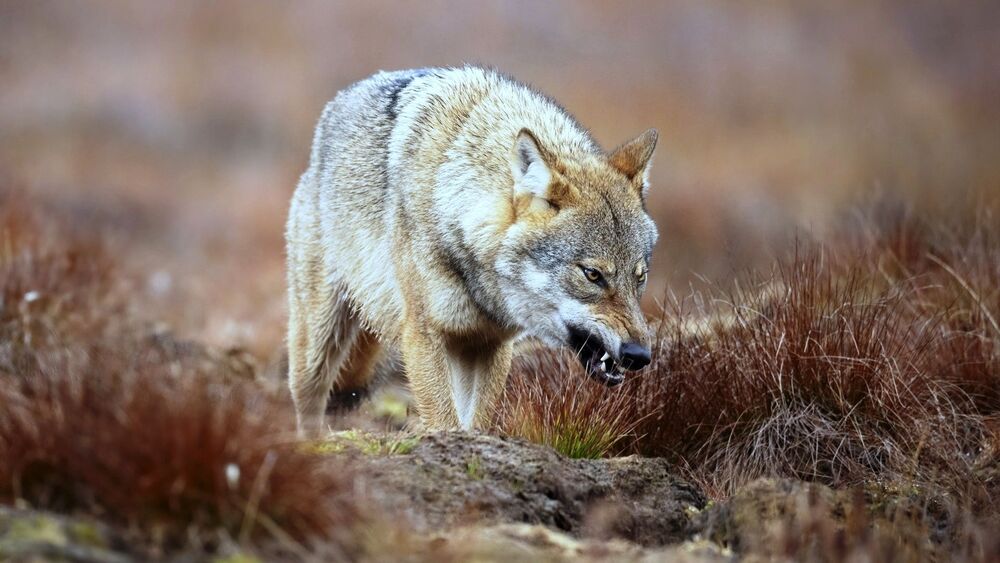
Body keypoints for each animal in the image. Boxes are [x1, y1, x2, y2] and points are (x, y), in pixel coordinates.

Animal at [286, 66, 659, 436]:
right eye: (592, 275)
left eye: (640, 277)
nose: (639, 355)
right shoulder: (424, 336)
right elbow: (444, 423)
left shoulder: (490, 344)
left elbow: (474, 424)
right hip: (318, 341)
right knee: (308, 401)